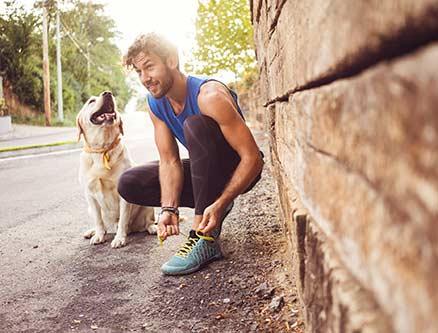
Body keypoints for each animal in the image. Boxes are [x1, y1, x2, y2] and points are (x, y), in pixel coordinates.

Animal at [76, 90, 157, 246]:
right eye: (91, 101)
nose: (108, 93)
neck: (102, 149)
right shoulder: (90, 195)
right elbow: (98, 220)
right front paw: (98, 235)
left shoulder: (123, 195)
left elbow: (123, 219)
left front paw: (119, 238)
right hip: (90, 209)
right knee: (103, 225)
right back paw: (92, 231)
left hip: (147, 206)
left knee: (148, 221)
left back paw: (152, 228)